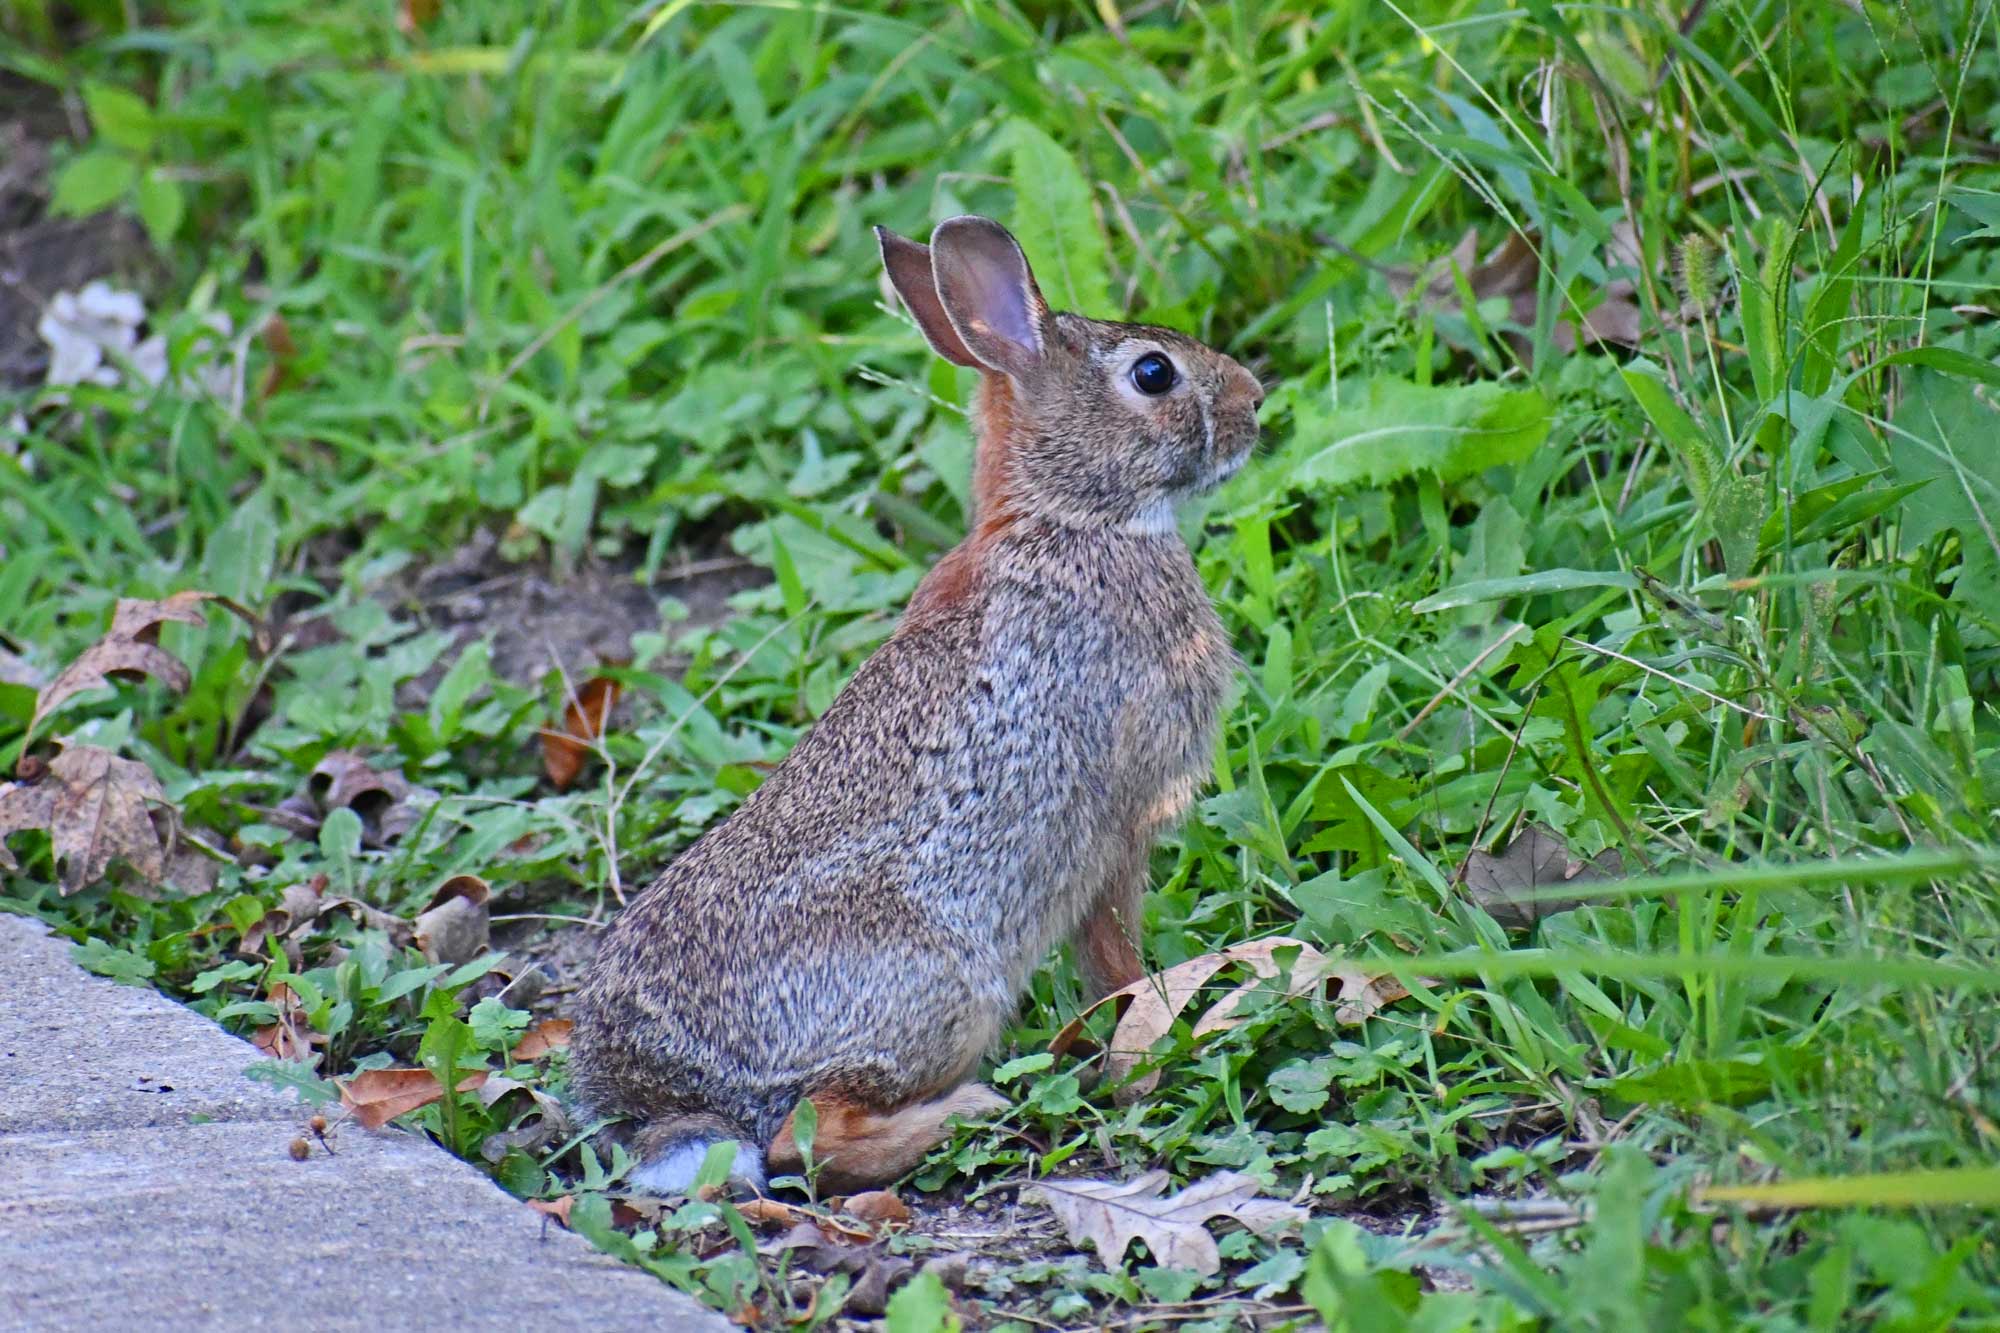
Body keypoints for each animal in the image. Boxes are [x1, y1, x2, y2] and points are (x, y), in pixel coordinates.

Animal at [569, 215, 1264, 1195]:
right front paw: (1147, 1032)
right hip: (938, 989)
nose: (1256, 400)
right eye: (1153, 373)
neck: (1069, 521)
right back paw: (970, 1109)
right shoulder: (1117, 824)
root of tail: (662, 1099)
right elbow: (1114, 955)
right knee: (809, 1136)